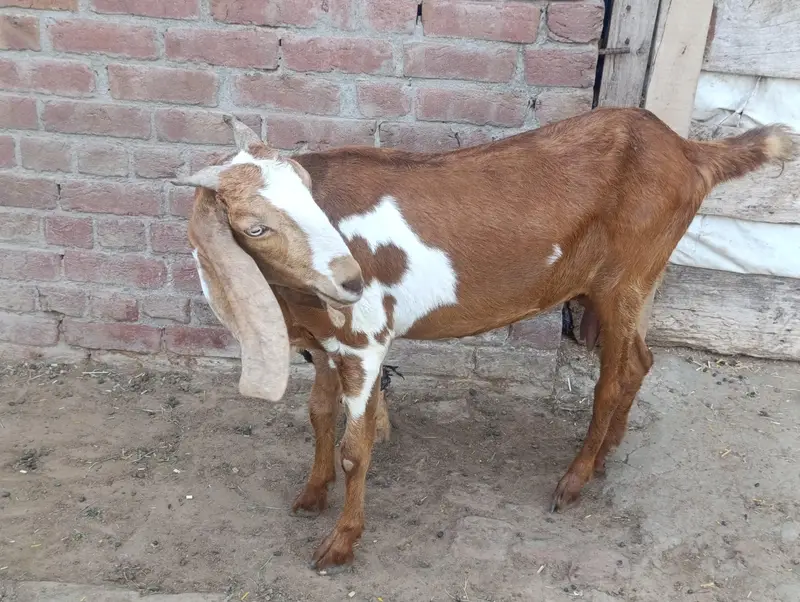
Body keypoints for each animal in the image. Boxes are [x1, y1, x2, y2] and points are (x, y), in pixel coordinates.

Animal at [176, 109, 795, 572]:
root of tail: (688, 152)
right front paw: (310, 495)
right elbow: (318, 415)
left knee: (615, 376)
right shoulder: (325, 342)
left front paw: (340, 543)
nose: (351, 280)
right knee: (641, 361)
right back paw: (607, 453)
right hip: (629, 283)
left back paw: (574, 479)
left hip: (628, 276)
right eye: (255, 227)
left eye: (310, 195)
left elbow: (357, 448)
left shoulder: (365, 340)